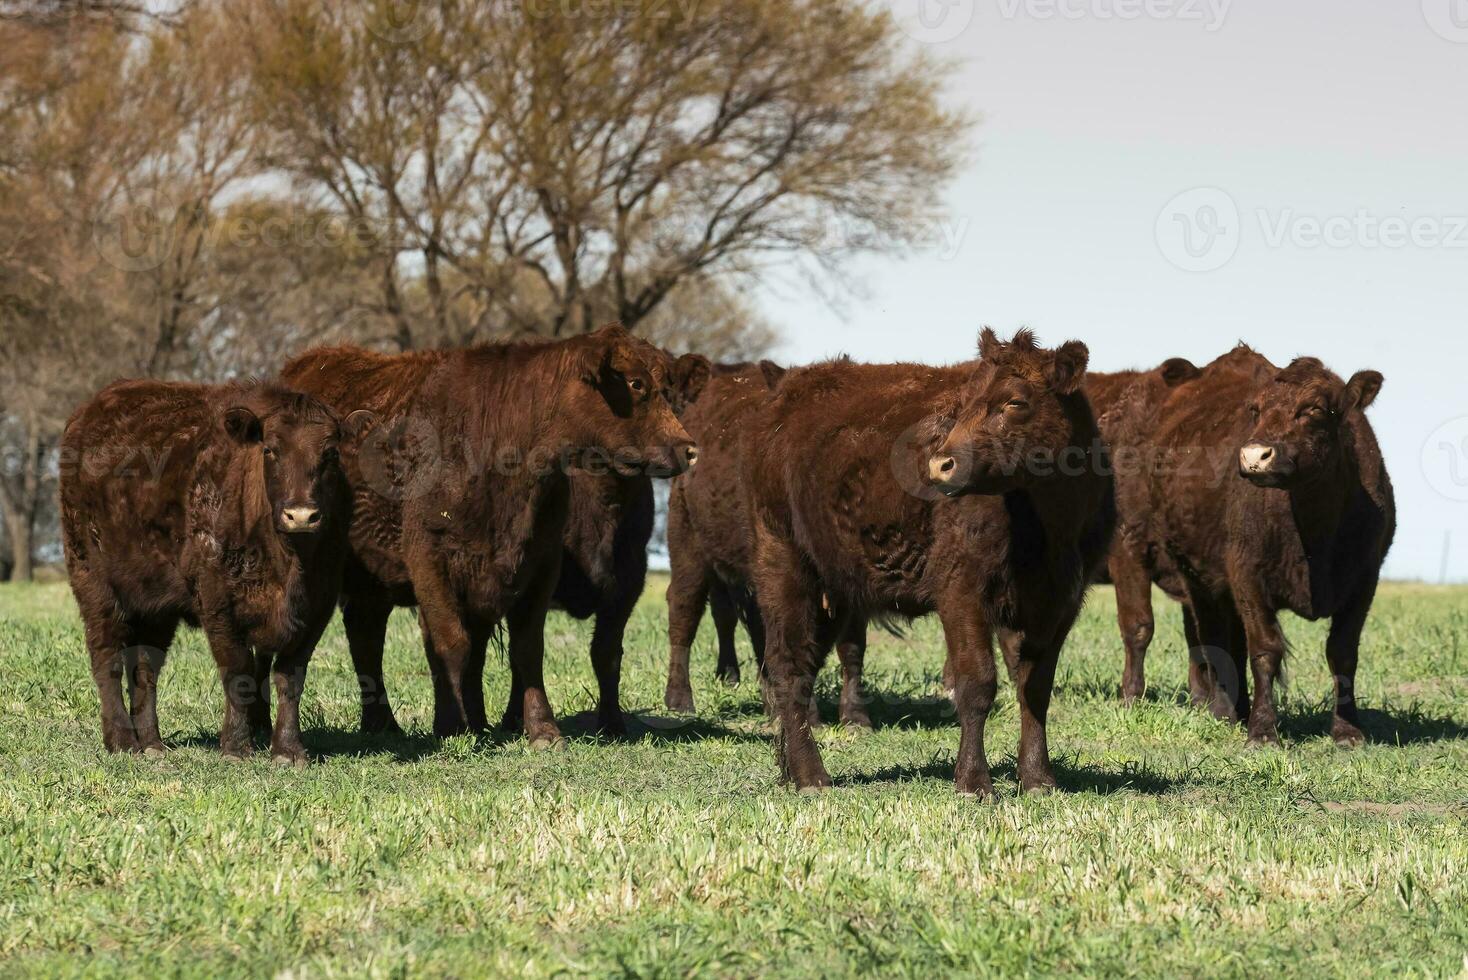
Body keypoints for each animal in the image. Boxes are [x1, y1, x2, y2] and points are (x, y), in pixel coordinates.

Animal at [57, 378, 361, 762]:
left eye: (331, 454)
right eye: (270, 450)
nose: (302, 515)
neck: (290, 563)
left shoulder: (318, 605)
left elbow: (290, 676)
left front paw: (289, 750)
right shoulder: (218, 602)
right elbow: (239, 671)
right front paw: (236, 746)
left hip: (155, 605)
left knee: (145, 667)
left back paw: (152, 744)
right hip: (94, 583)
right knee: (106, 657)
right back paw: (123, 741)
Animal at [284, 328, 698, 742]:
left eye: (667, 387)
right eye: (636, 383)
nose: (689, 448)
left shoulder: (544, 564)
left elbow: (530, 649)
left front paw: (542, 729)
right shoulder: (430, 562)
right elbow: (451, 645)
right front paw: (452, 726)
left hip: (374, 582)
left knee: (366, 635)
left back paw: (387, 724)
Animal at [666, 362, 869, 727]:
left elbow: (851, 645)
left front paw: (856, 715)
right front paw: (807, 715)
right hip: (688, 546)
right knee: (684, 612)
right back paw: (679, 698)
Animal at [745, 331, 1109, 798]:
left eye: (1015, 401)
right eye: (964, 402)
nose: (940, 463)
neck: (1050, 527)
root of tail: (787, 393)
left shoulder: (1061, 603)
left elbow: (1035, 688)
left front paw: (1038, 778)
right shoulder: (960, 589)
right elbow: (977, 683)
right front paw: (973, 781)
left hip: (835, 588)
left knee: (804, 664)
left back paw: (793, 770)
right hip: (783, 562)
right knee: (787, 665)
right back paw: (812, 776)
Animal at [1145, 346, 1397, 742]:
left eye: (1314, 408)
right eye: (1255, 410)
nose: (1254, 455)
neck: (1315, 534)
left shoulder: (1365, 578)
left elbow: (1343, 651)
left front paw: (1347, 730)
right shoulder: (1246, 574)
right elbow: (1264, 649)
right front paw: (1263, 730)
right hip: (1198, 578)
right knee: (1216, 638)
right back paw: (1225, 712)